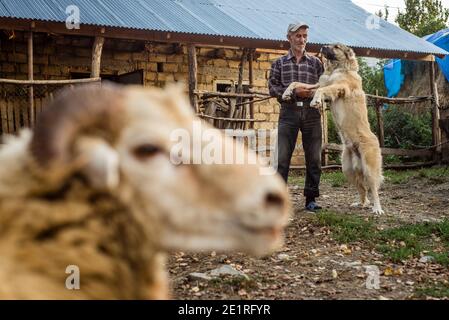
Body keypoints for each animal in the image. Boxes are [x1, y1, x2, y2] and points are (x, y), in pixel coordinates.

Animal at [308, 43, 384, 214]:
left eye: (336, 47)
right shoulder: (322, 84)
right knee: (362, 189)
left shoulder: (338, 87)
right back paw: (361, 203)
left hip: (369, 168)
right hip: (347, 169)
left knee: (373, 189)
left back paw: (377, 208)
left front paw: (315, 101)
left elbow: (320, 91)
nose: (322, 47)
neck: (337, 67)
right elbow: (298, 84)